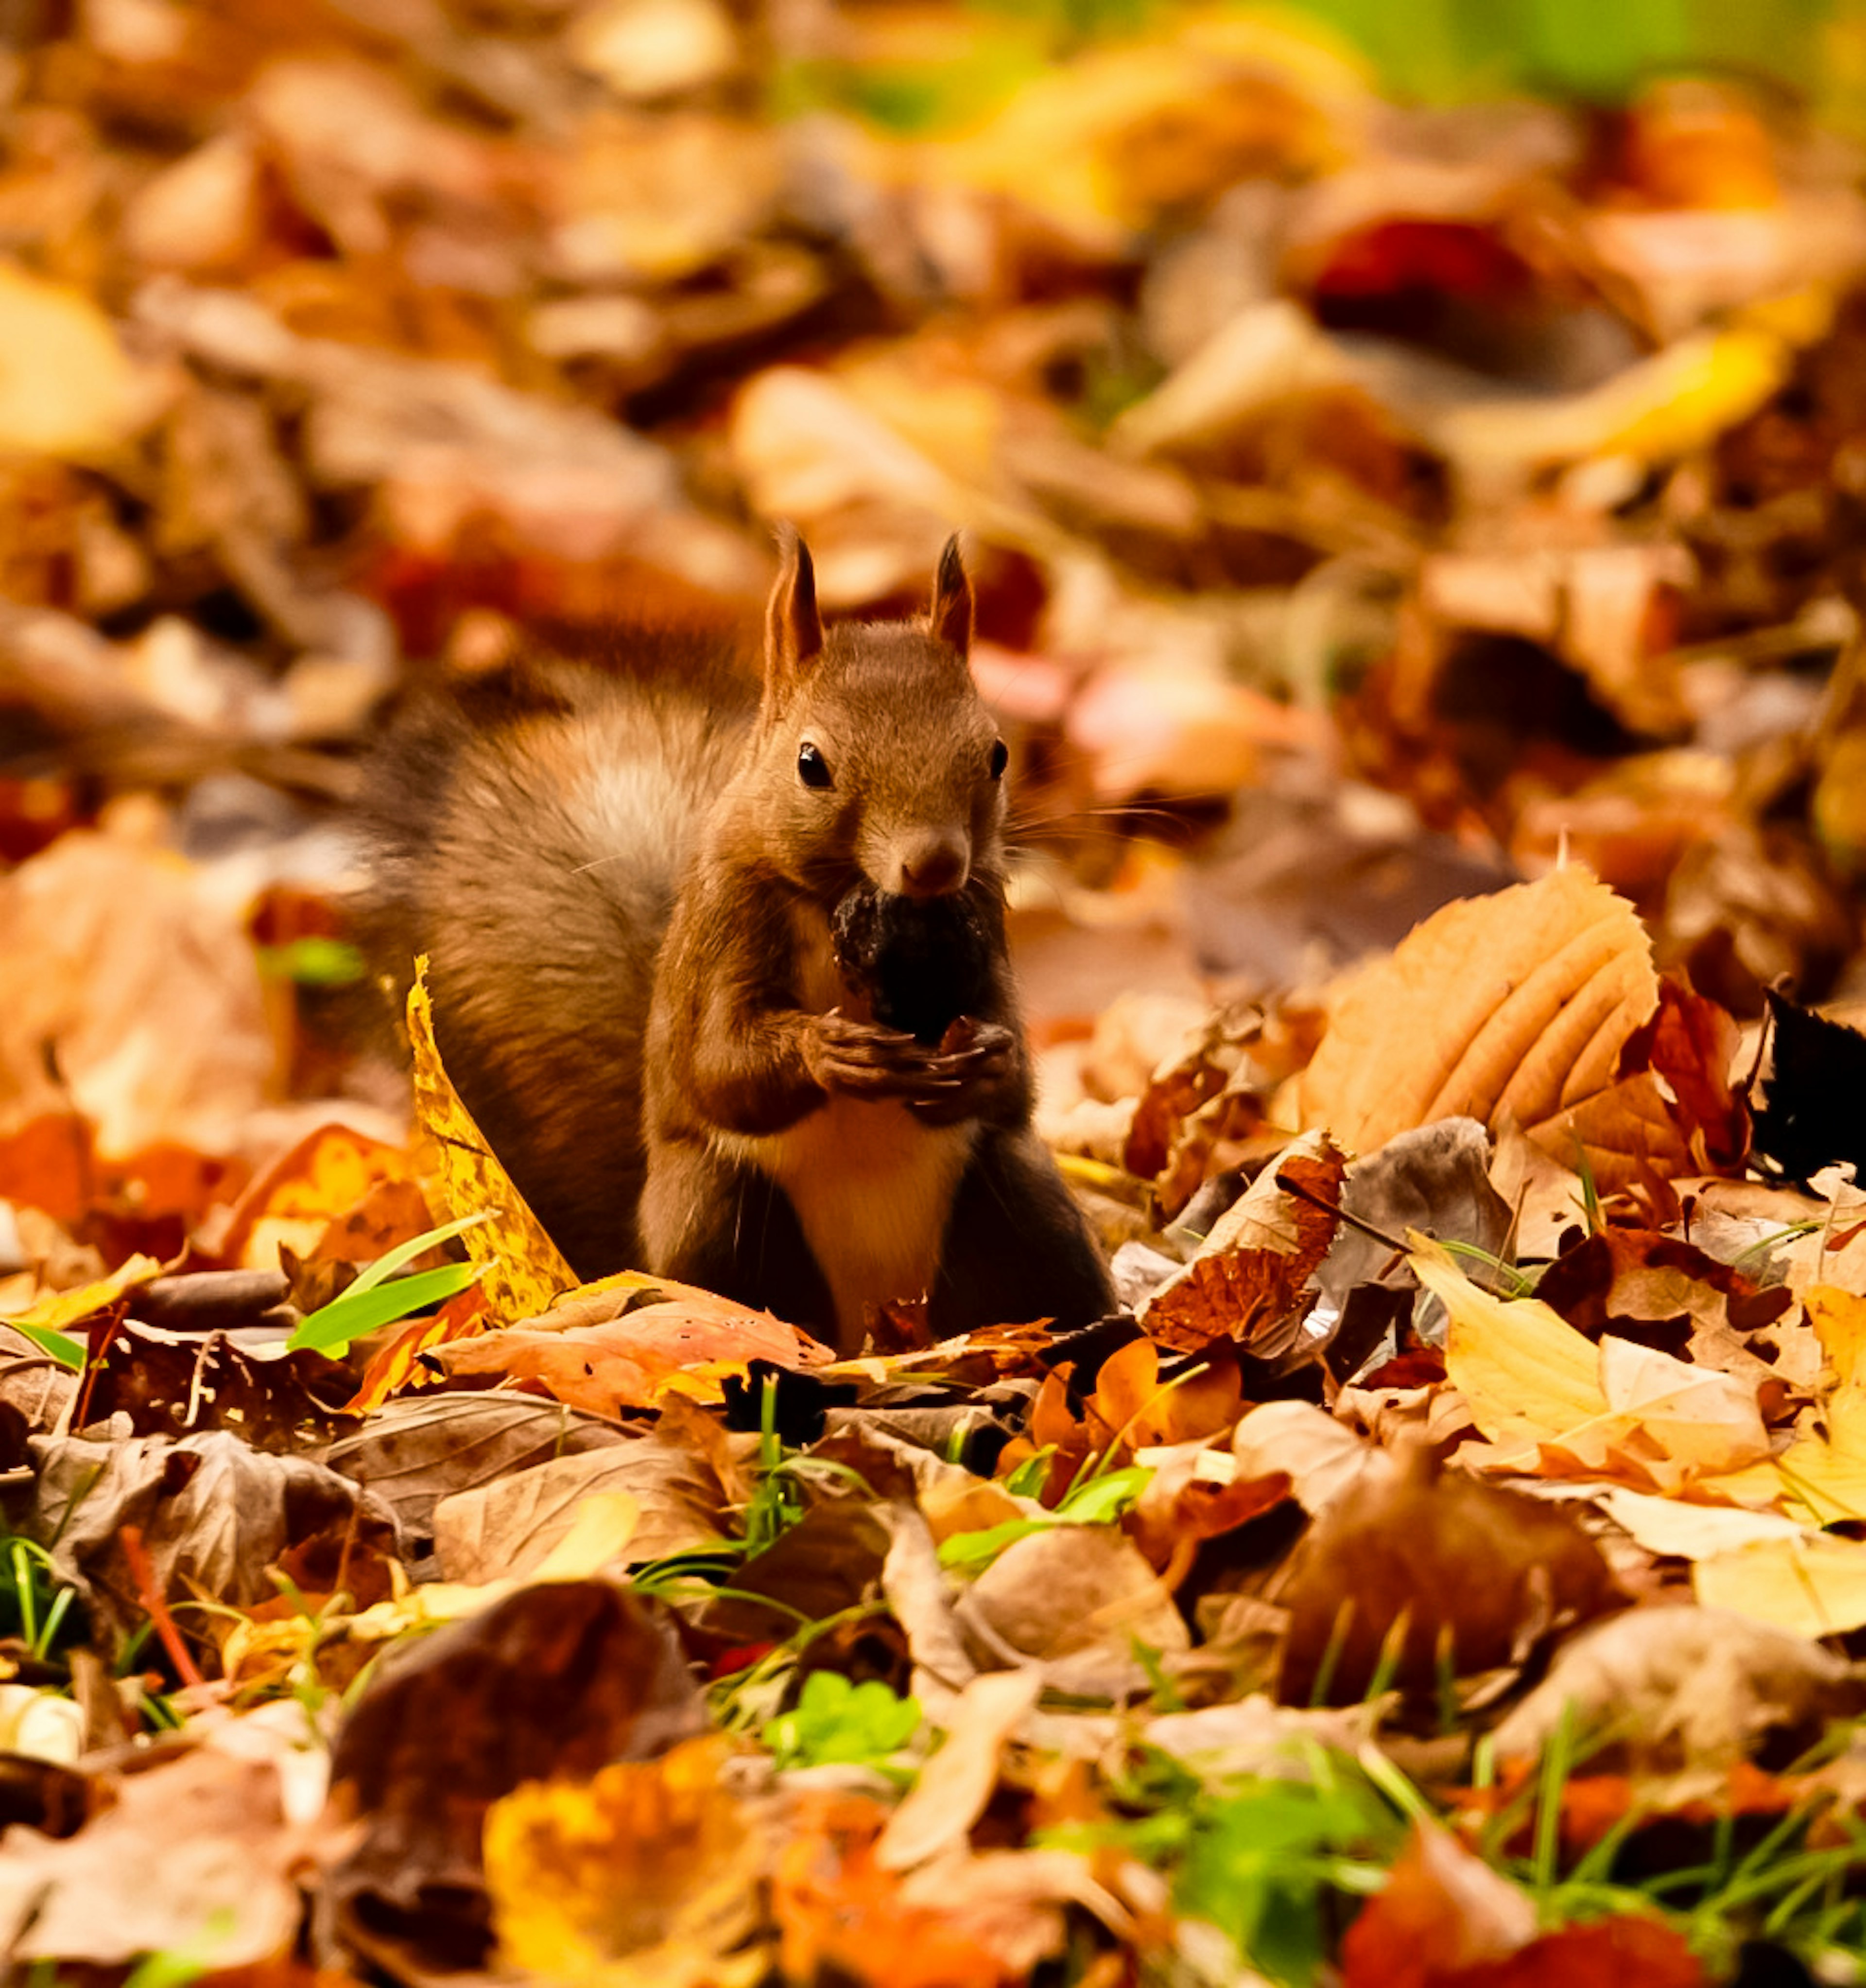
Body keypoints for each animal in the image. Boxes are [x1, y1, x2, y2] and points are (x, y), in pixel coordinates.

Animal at [367, 533, 1121, 1352]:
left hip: (1019, 1199)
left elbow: (1016, 1071)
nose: (933, 864)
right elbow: (716, 1068)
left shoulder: (984, 917)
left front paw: (985, 1054)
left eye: (996, 754)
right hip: (715, 1210)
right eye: (810, 764)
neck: (841, 900)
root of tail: (877, 1323)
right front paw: (827, 1051)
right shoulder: (725, 927)